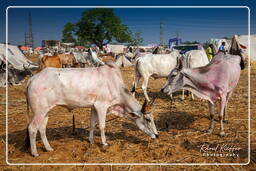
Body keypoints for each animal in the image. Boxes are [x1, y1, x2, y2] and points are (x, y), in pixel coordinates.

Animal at [25, 62, 158, 157]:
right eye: (148, 119)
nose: (157, 135)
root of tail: (33, 79)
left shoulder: (94, 108)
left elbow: (92, 124)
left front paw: (91, 140)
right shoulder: (101, 106)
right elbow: (102, 126)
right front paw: (104, 143)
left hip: (45, 112)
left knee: (42, 129)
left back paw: (48, 148)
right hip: (39, 112)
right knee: (32, 128)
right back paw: (35, 153)